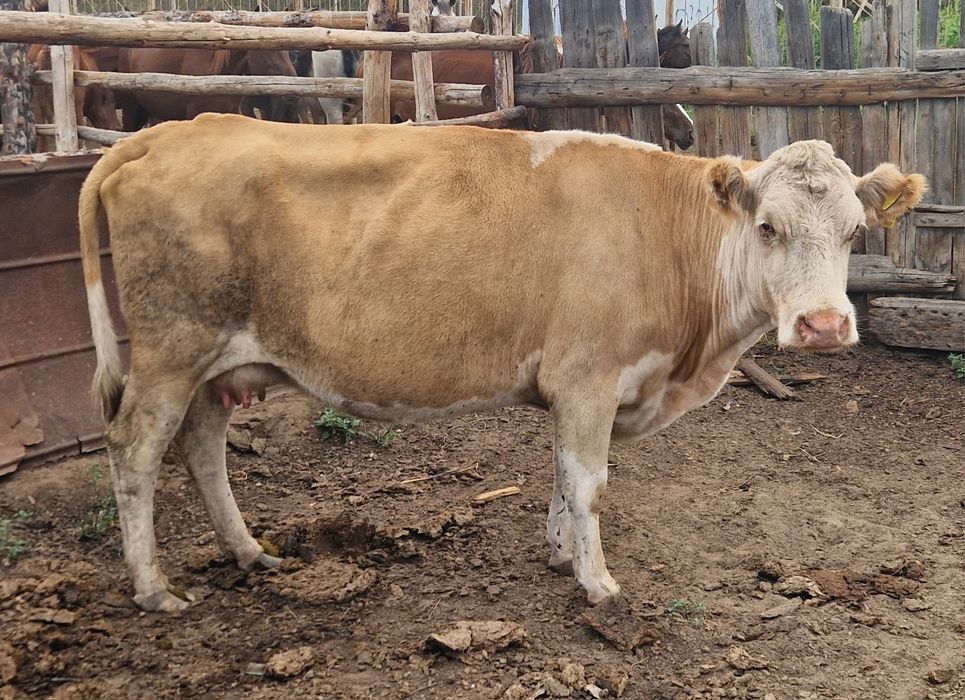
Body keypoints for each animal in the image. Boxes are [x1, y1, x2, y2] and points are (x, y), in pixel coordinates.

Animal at [79, 115, 925, 612]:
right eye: (767, 226)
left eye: (855, 231)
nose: (823, 326)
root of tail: (171, 130)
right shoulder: (587, 378)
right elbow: (588, 484)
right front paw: (596, 582)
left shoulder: (571, 389)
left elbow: (560, 475)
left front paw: (558, 555)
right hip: (171, 351)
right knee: (136, 451)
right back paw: (153, 588)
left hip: (214, 366)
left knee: (202, 449)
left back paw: (249, 552)